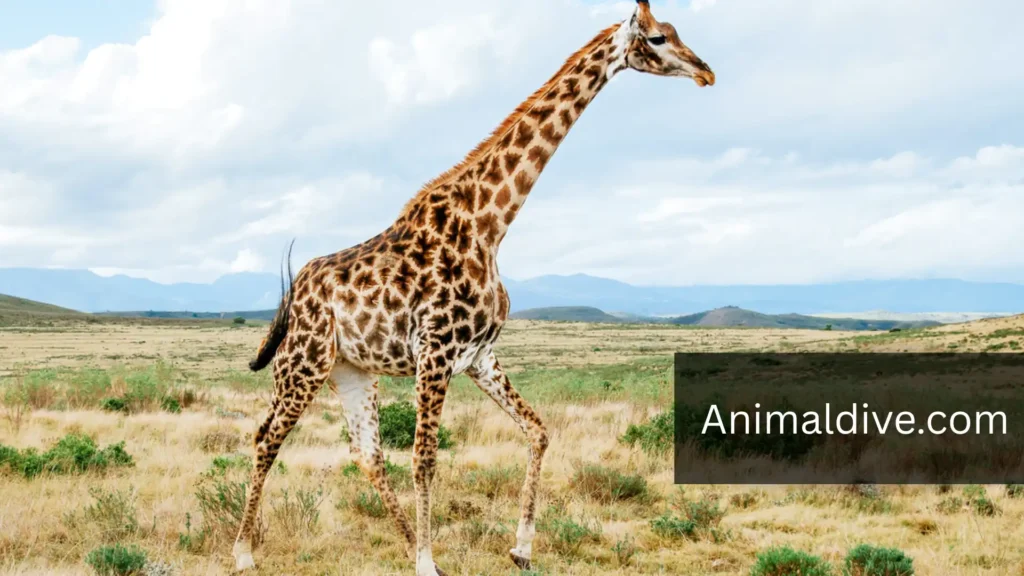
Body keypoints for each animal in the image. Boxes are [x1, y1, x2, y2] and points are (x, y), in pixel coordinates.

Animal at [232, 2, 714, 574]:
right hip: (303, 365)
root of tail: (296, 290)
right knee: (266, 438)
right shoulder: (435, 353)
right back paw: (244, 551)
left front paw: (520, 547)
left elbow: (538, 430)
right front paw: (427, 562)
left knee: (366, 454)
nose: (706, 72)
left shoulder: (479, 356)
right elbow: (425, 459)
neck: (490, 225)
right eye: (659, 38)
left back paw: (400, 540)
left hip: (350, 371)